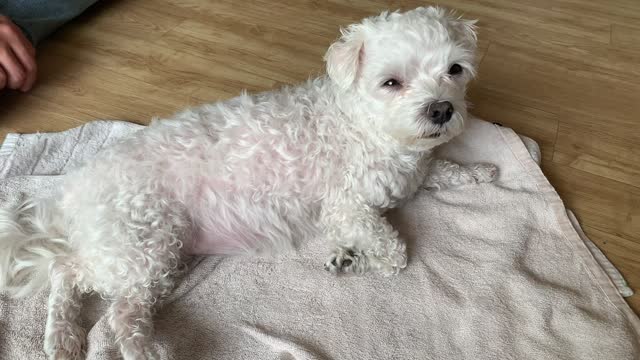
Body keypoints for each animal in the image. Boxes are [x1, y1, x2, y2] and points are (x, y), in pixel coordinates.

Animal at [0, 6, 496, 360]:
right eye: (391, 82)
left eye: (454, 69)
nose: (441, 110)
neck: (364, 125)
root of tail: (74, 191)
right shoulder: (347, 208)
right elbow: (395, 254)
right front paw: (358, 258)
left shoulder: (410, 172)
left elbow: (438, 170)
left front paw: (478, 172)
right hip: (143, 242)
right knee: (97, 294)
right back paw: (137, 350)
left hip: (161, 255)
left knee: (75, 276)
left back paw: (63, 338)